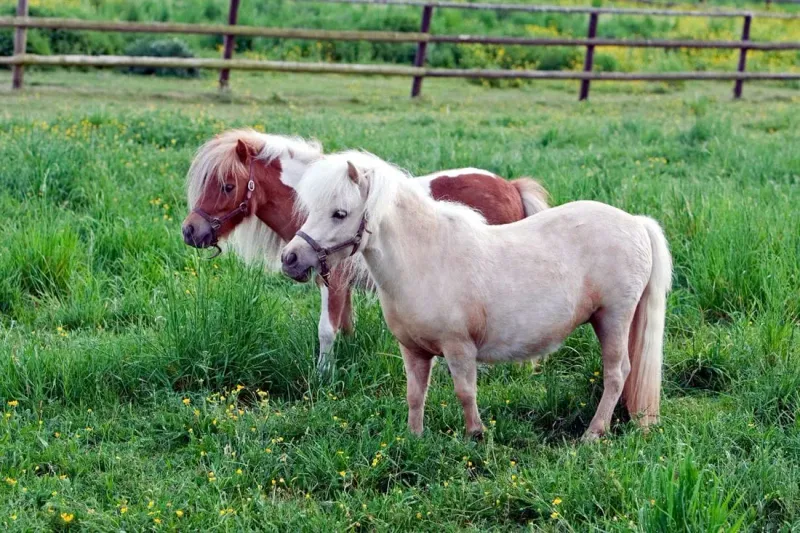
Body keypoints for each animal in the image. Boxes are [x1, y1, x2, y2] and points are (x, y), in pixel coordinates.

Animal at [180, 129, 548, 372]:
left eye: (227, 186)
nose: (190, 231)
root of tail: (512, 187)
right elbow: (344, 327)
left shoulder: (333, 281)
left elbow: (326, 330)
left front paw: (322, 376)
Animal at [284, 150, 672, 440]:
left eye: (340, 213)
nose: (291, 259)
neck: (424, 259)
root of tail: (636, 222)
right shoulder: (413, 350)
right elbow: (415, 395)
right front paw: (415, 437)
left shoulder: (459, 348)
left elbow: (465, 392)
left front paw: (476, 435)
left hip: (614, 318)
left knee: (617, 373)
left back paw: (593, 433)